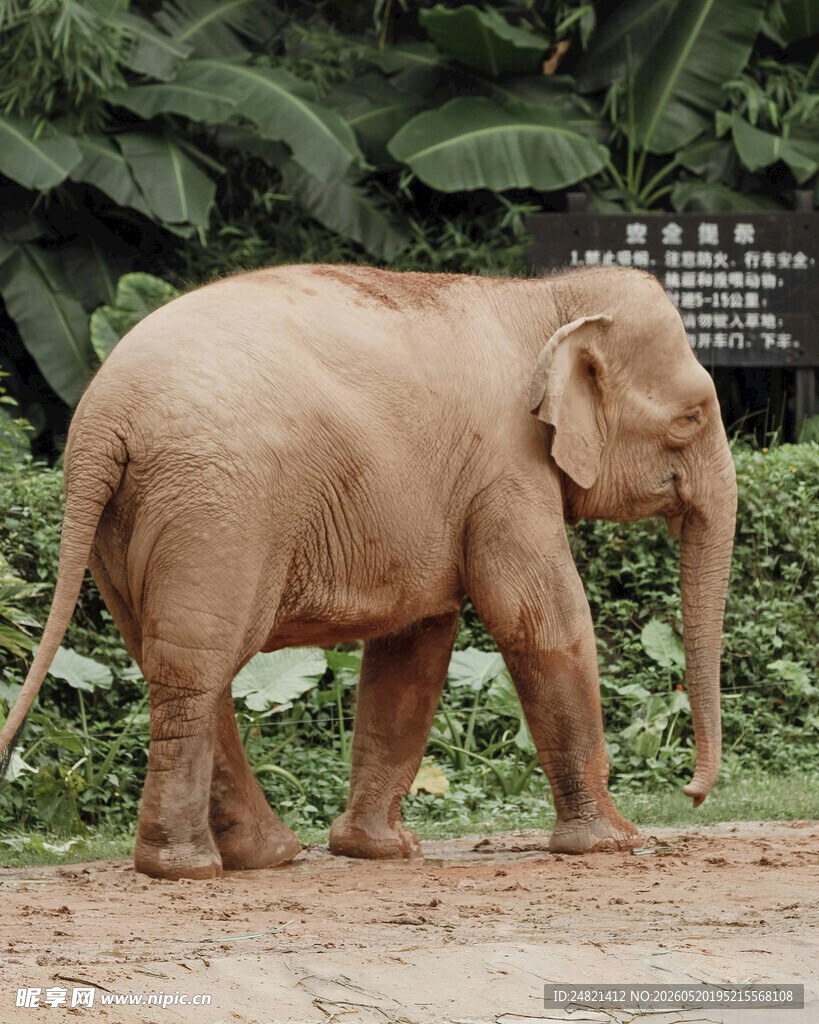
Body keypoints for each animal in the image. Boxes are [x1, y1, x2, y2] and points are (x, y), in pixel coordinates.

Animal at [0, 264, 737, 880]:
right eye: (690, 417)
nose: (692, 792)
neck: (546, 297)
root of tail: (102, 420)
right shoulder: (506, 470)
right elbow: (539, 619)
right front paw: (614, 843)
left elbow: (417, 644)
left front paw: (379, 852)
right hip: (214, 508)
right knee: (197, 667)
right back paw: (187, 869)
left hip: (132, 526)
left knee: (180, 664)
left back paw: (263, 857)